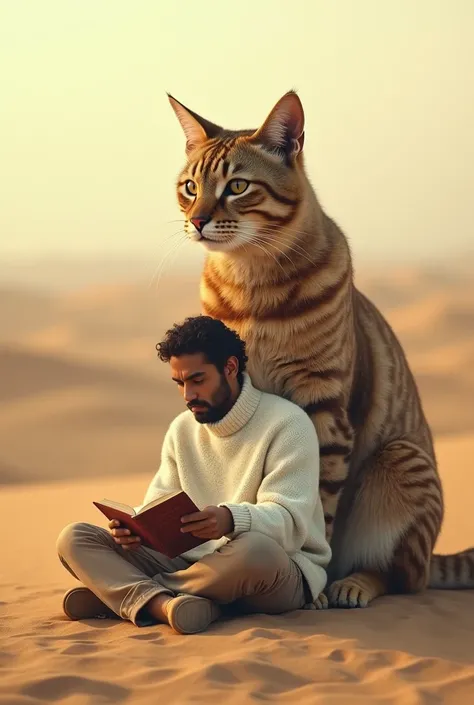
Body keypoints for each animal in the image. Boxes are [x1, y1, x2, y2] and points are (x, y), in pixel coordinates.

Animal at [166, 89, 470, 604]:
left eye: (237, 186)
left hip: (401, 461)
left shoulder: (324, 406)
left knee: (402, 577)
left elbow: (318, 506)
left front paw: (312, 581)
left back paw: (353, 583)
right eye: (189, 186)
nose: (197, 220)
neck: (251, 288)